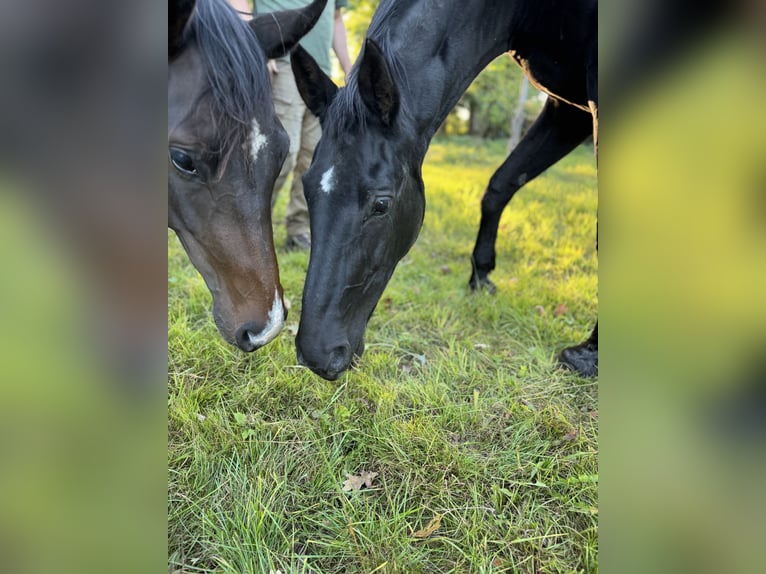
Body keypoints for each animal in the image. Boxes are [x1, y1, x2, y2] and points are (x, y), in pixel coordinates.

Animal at [289, 0, 597, 380]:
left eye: (381, 204)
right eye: (307, 188)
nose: (316, 355)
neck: (526, 12)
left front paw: (588, 354)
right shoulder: (568, 111)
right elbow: (501, 184)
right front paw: (481, 277)